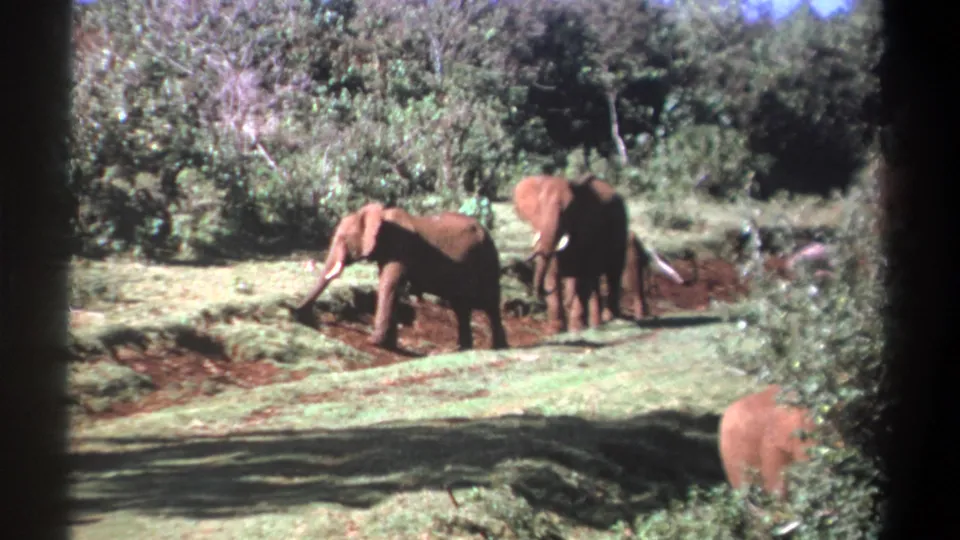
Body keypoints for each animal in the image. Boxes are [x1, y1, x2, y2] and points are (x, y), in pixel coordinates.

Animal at [292, 203, 509, 351]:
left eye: (343, 239)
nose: (295, 312)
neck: (380, 216)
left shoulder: (401, 247)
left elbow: (389, 284)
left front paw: (374, 342)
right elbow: (392, 287)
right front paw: (388, 343)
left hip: (488, 258)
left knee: (490, 303)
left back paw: (498, 348)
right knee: (461, 306)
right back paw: (462, 348)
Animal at [513, 174, 629, 333]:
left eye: (567, 211)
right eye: (540, 209)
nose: (539, 293)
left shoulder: (587, 228)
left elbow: (581, 275)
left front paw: (576, 329)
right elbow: (552, 273)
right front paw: (554, 330)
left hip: (621, 230)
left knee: (612, 273)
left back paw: (609, 319)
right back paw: (595, 324)